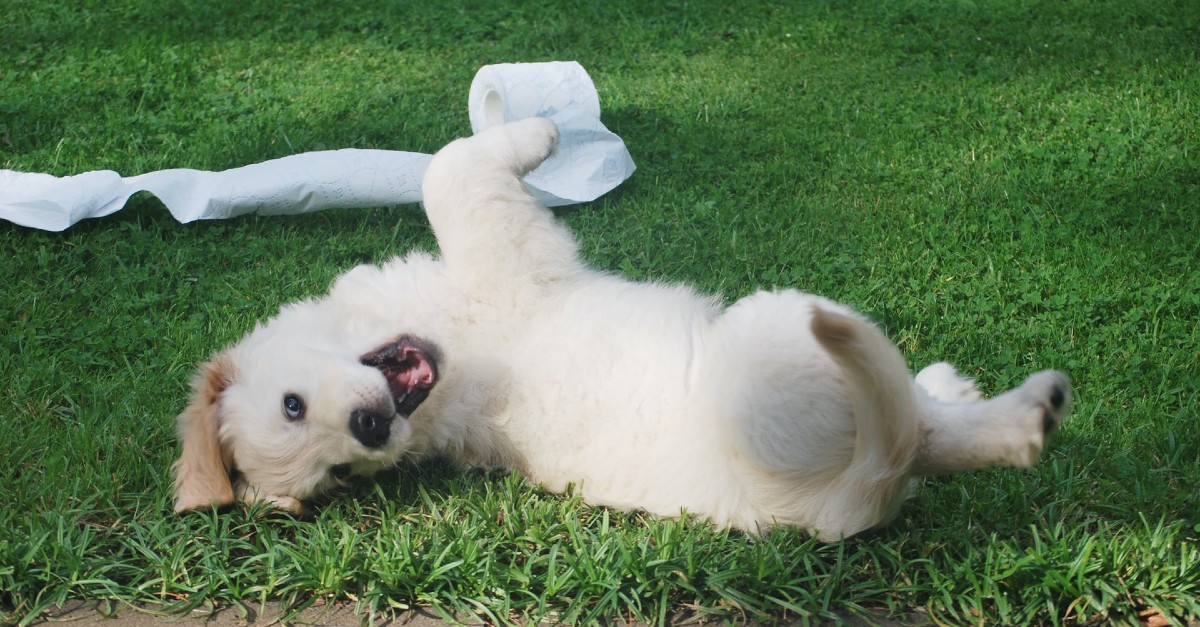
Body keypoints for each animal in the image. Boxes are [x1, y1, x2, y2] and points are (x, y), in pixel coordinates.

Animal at [174, 119, 1075, 538]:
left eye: (293, 406)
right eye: (339, 472)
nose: (369, 431)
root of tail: (839, 503)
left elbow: (449, 164)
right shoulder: (502, 248)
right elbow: (449, 169)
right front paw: (540, 133)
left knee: (924, 421)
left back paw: (956, 384)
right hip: (783, 338)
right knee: (923, 430)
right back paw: (1026, 412)